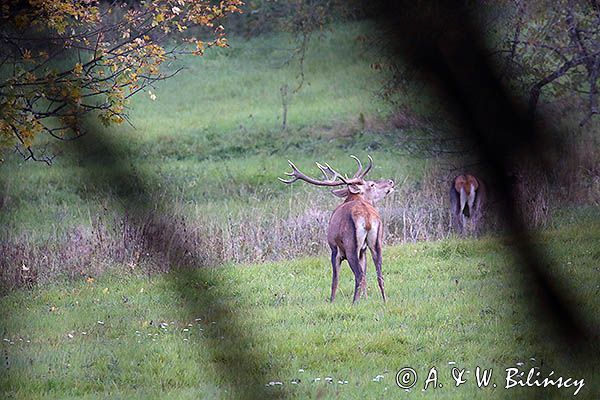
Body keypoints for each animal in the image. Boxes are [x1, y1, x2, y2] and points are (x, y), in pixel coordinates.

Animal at [280, 156, 396, 304]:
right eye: (372, 184)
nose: (391, 182)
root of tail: (367, 217)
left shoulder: (334, 249)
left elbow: (335, 280)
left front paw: (332, 301)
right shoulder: (363, 251)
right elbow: (365, 274)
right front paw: (365, 298)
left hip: (351, 245)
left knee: (359, 275)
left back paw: (354, 303)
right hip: (376, 242)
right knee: (378, 274)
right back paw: (384, 301)